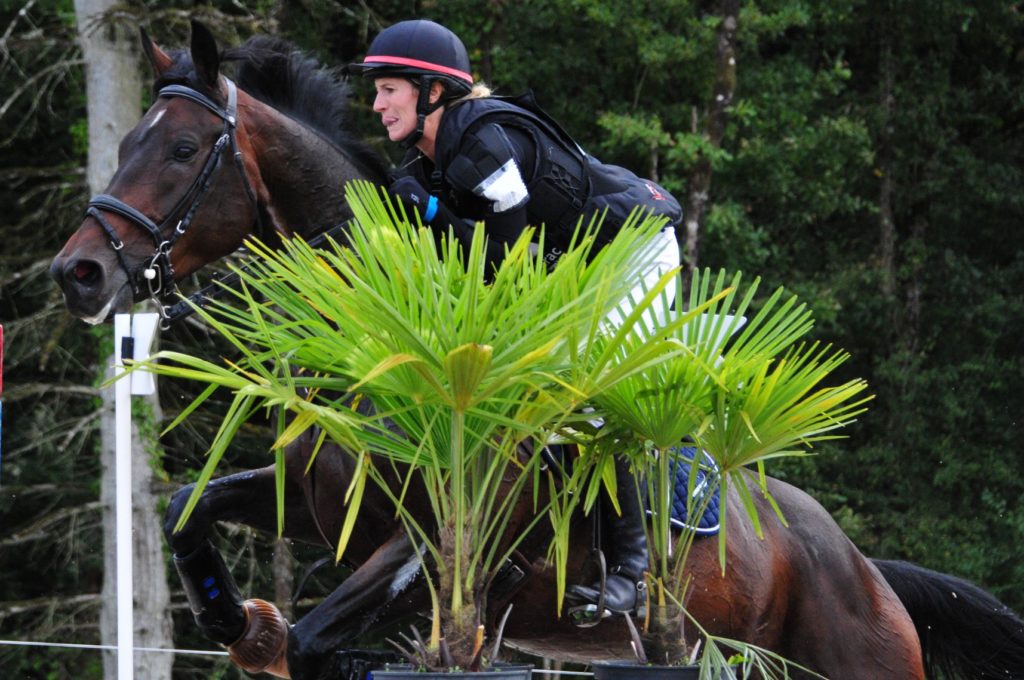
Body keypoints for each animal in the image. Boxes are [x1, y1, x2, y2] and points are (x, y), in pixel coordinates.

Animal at [49, 19, 1024, 680]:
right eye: (127, 141)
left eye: (181, 148)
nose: (78, 273)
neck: (383, 355)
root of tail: (859, 564)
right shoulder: (316, 506)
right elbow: (189, 506)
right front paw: (238, 621)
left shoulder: (445, 549)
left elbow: (317, 637)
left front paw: (274, 634)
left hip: (853, 650)